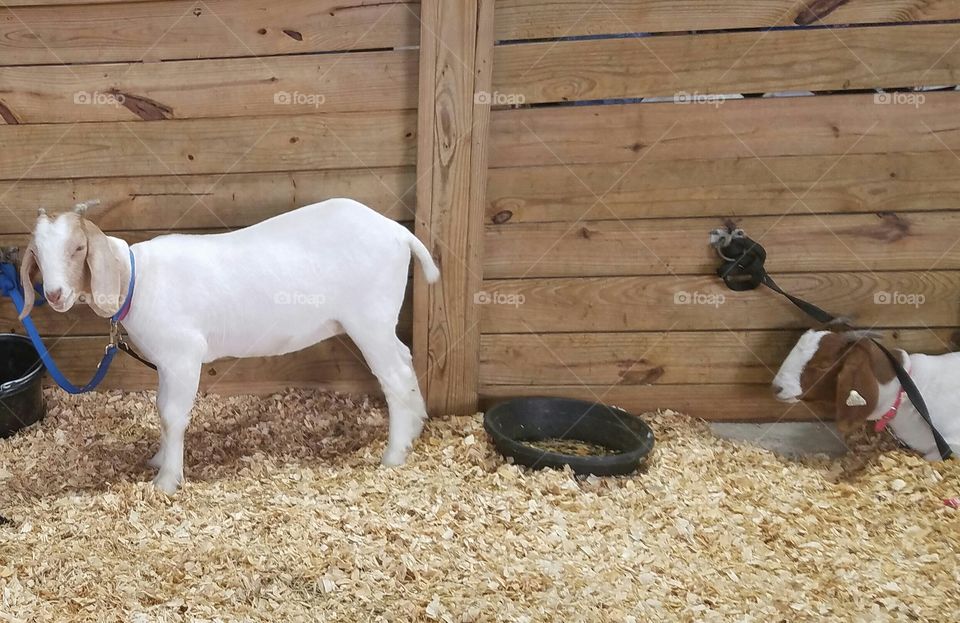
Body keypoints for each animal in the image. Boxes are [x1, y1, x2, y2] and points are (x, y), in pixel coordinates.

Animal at [19, 200, 438, 492]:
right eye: (37, 253)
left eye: (77, 248)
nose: (54, 294)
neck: (139, 278)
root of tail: (398, 233)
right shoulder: (167, 362)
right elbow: (161, 410)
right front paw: (159, 459)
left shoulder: (184, 355)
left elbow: (173, 415)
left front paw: (167, 481)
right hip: (380, 322)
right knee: (405, 360)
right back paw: (417, 424)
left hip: (369, 319)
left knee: (394, 375)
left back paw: (393, 454)